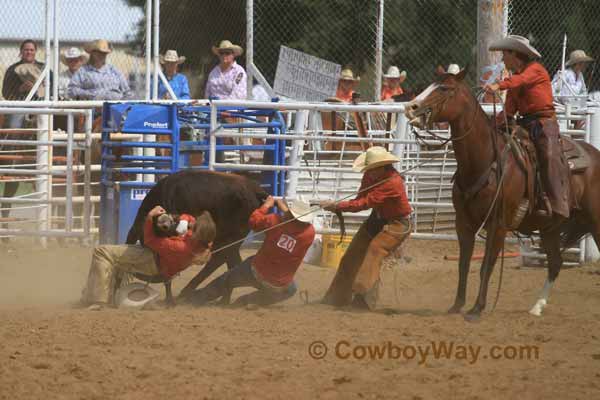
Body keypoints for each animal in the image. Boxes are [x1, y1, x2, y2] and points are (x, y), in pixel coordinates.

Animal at [406, 68, 600, 318]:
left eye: (445, 88)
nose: (411, 107)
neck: (485, 161)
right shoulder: (463, 223)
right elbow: (463, 264)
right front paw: (457, 306)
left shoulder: (498, 224)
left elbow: (486, 266)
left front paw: (477, 309)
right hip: (550, 227)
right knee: (555, 263)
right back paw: (536, 307)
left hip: (595, 221)